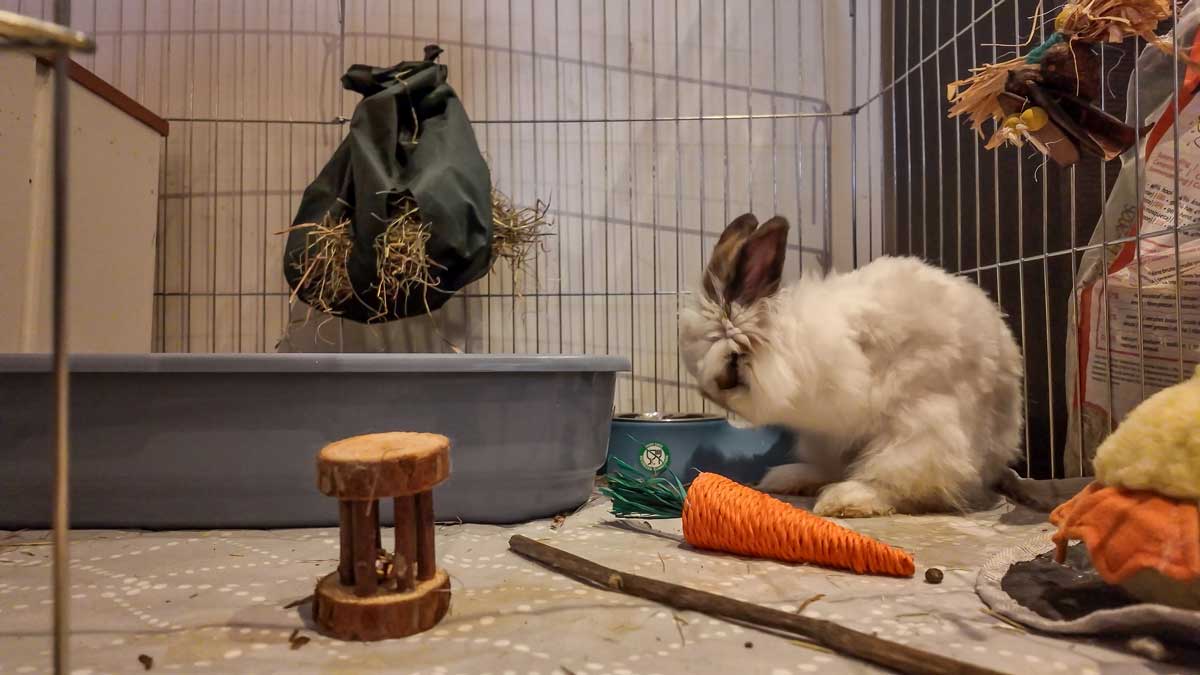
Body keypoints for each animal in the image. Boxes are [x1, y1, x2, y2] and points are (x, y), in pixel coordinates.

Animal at [679, 213, 1025, 517]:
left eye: (733, 362)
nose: (713, 395)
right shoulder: (826, 432)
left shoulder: (920, 418)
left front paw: (845, 499)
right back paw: (787, 477)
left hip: (922, 431)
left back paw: (845, 498)